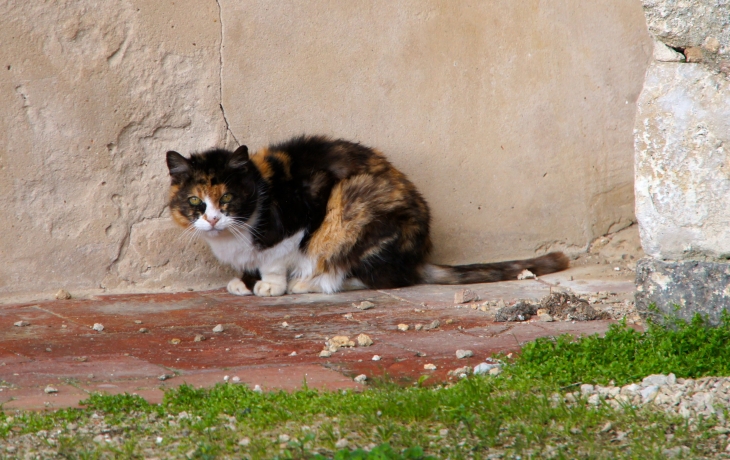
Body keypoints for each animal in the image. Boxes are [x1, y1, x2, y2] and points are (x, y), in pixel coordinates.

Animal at [166, 135, 568, 296]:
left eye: (227, 198)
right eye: (196, 202)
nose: (212, 219)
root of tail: (415, 259)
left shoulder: (300, 216)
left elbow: (275, 258)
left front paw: (268, 284)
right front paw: (243, 281)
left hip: (353, 204)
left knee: (370, 276)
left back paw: (309, 283)